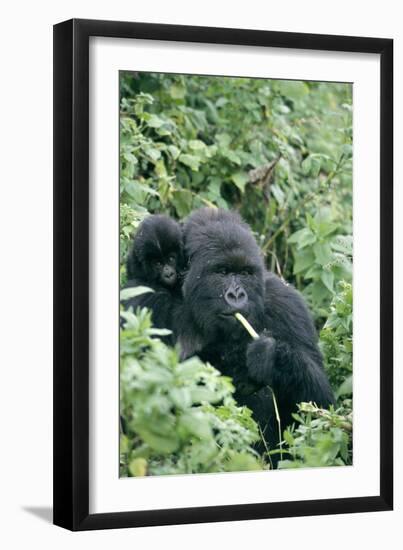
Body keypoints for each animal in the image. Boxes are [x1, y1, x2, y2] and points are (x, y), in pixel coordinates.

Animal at [177, 209, 334, 454]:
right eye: (222, 272)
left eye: (245, 273)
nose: (237, 295)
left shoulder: (288, 304)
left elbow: (320, 410)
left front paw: (274, 357)